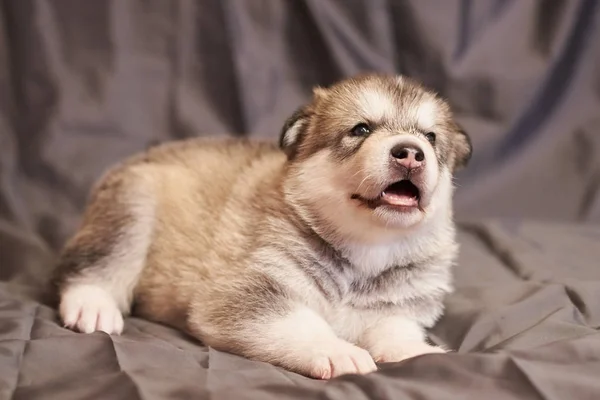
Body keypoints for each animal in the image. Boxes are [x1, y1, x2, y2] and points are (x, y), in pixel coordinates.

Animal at [51, 73, 472, 380]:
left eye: (430, 138)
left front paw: (421, 352)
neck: (365, 253)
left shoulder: (400, 308)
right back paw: (92, 304)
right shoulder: (244, 293)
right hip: (132, 207)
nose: (411, 153)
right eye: (361, 130)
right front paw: (338, 351)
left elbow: (395, 331)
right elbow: (301, 322)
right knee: (95, 264)